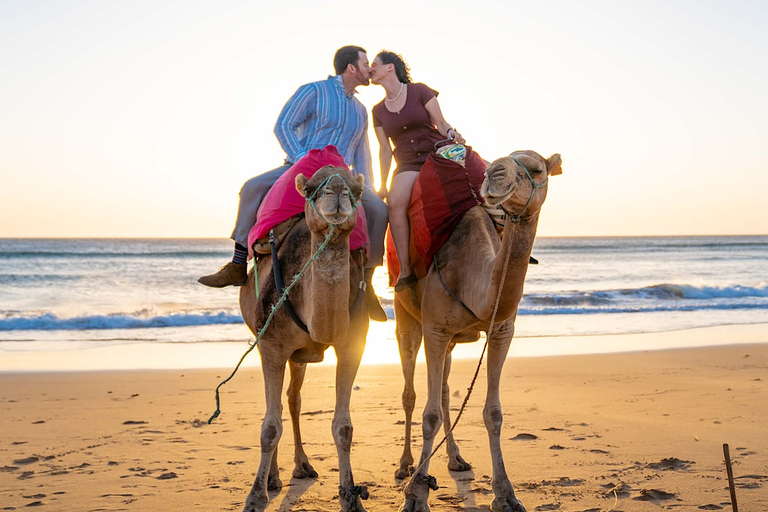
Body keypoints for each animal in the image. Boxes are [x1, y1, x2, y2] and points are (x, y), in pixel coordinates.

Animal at [240, 165, 372, 512]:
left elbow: (344, 427)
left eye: (357, 191)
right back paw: (272, 479)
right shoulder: (272, 346)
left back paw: (302, 466)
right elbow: (269, 427)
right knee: (276, 404)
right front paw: (254, 498)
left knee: (293, 398)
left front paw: (352, 497)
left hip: (299, 356)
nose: (337, 191)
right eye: (311, 188)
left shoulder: (352, 344)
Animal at [392, 149, 560, 512]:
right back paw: (406, 465)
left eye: (538, 168)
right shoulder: (435, 329)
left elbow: (492, 412)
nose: (494, 173)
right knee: (411, 392)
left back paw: (455, 459)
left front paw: (506, 494)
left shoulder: (501, 330)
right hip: (407, 320)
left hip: (452, 341)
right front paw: (414, 495)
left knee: (442, 390)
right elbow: (428, 415)